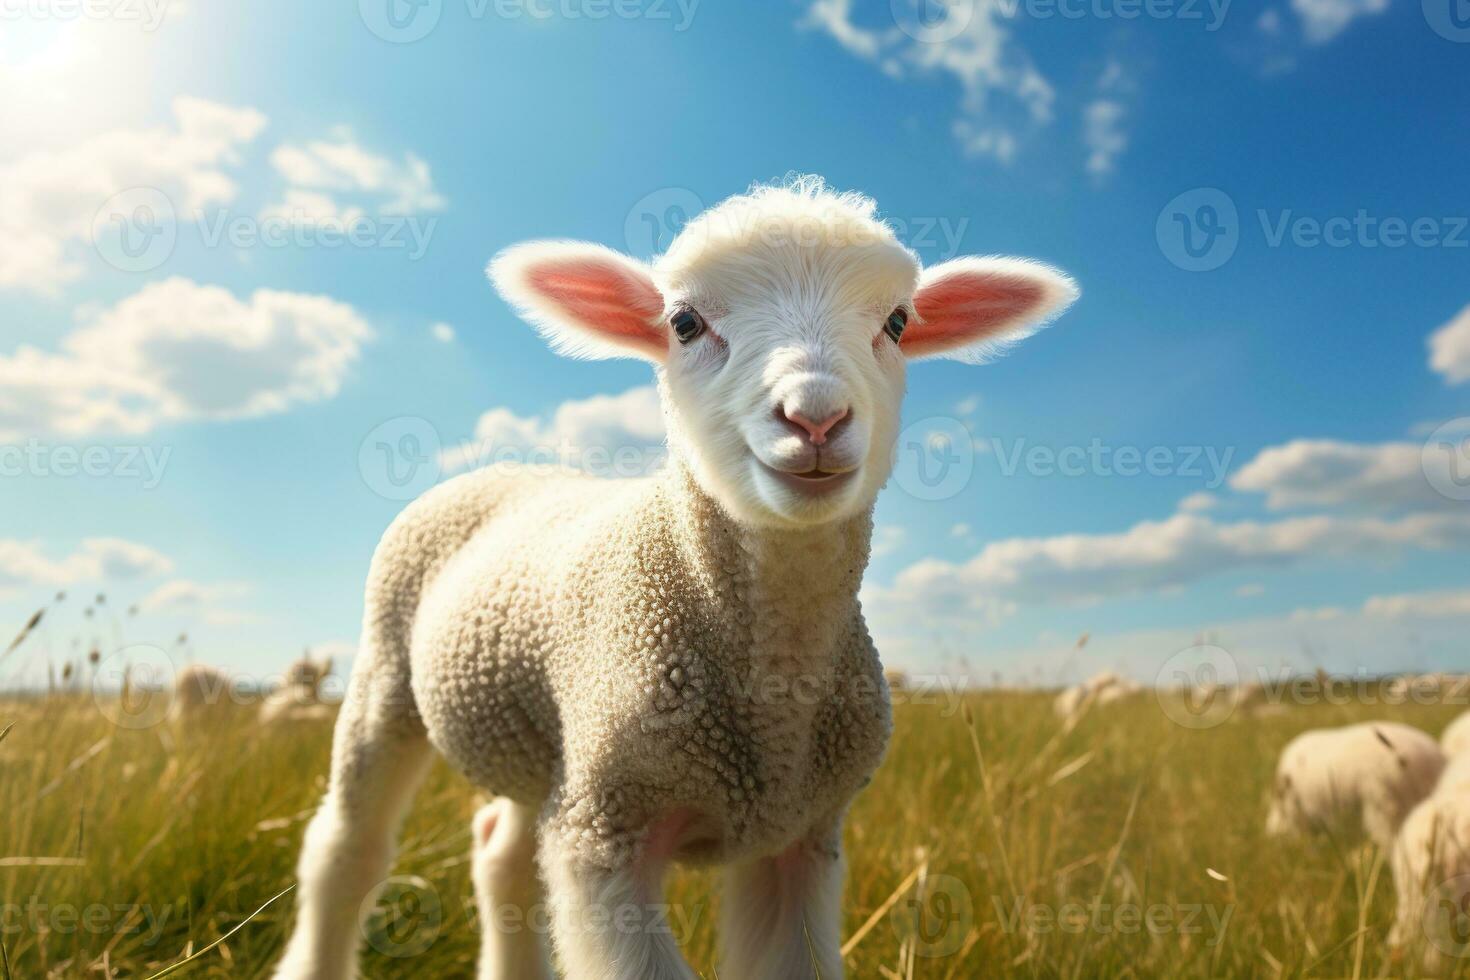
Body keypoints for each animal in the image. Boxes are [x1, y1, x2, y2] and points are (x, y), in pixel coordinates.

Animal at [267, 178, 1081, 980]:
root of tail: (503, 467)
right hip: (395, 674)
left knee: (504, 852)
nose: (816, 419)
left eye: (899, 322)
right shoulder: (608, 833)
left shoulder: (799, 835)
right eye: (684, 323)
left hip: (554, 741)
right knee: (347, 850)